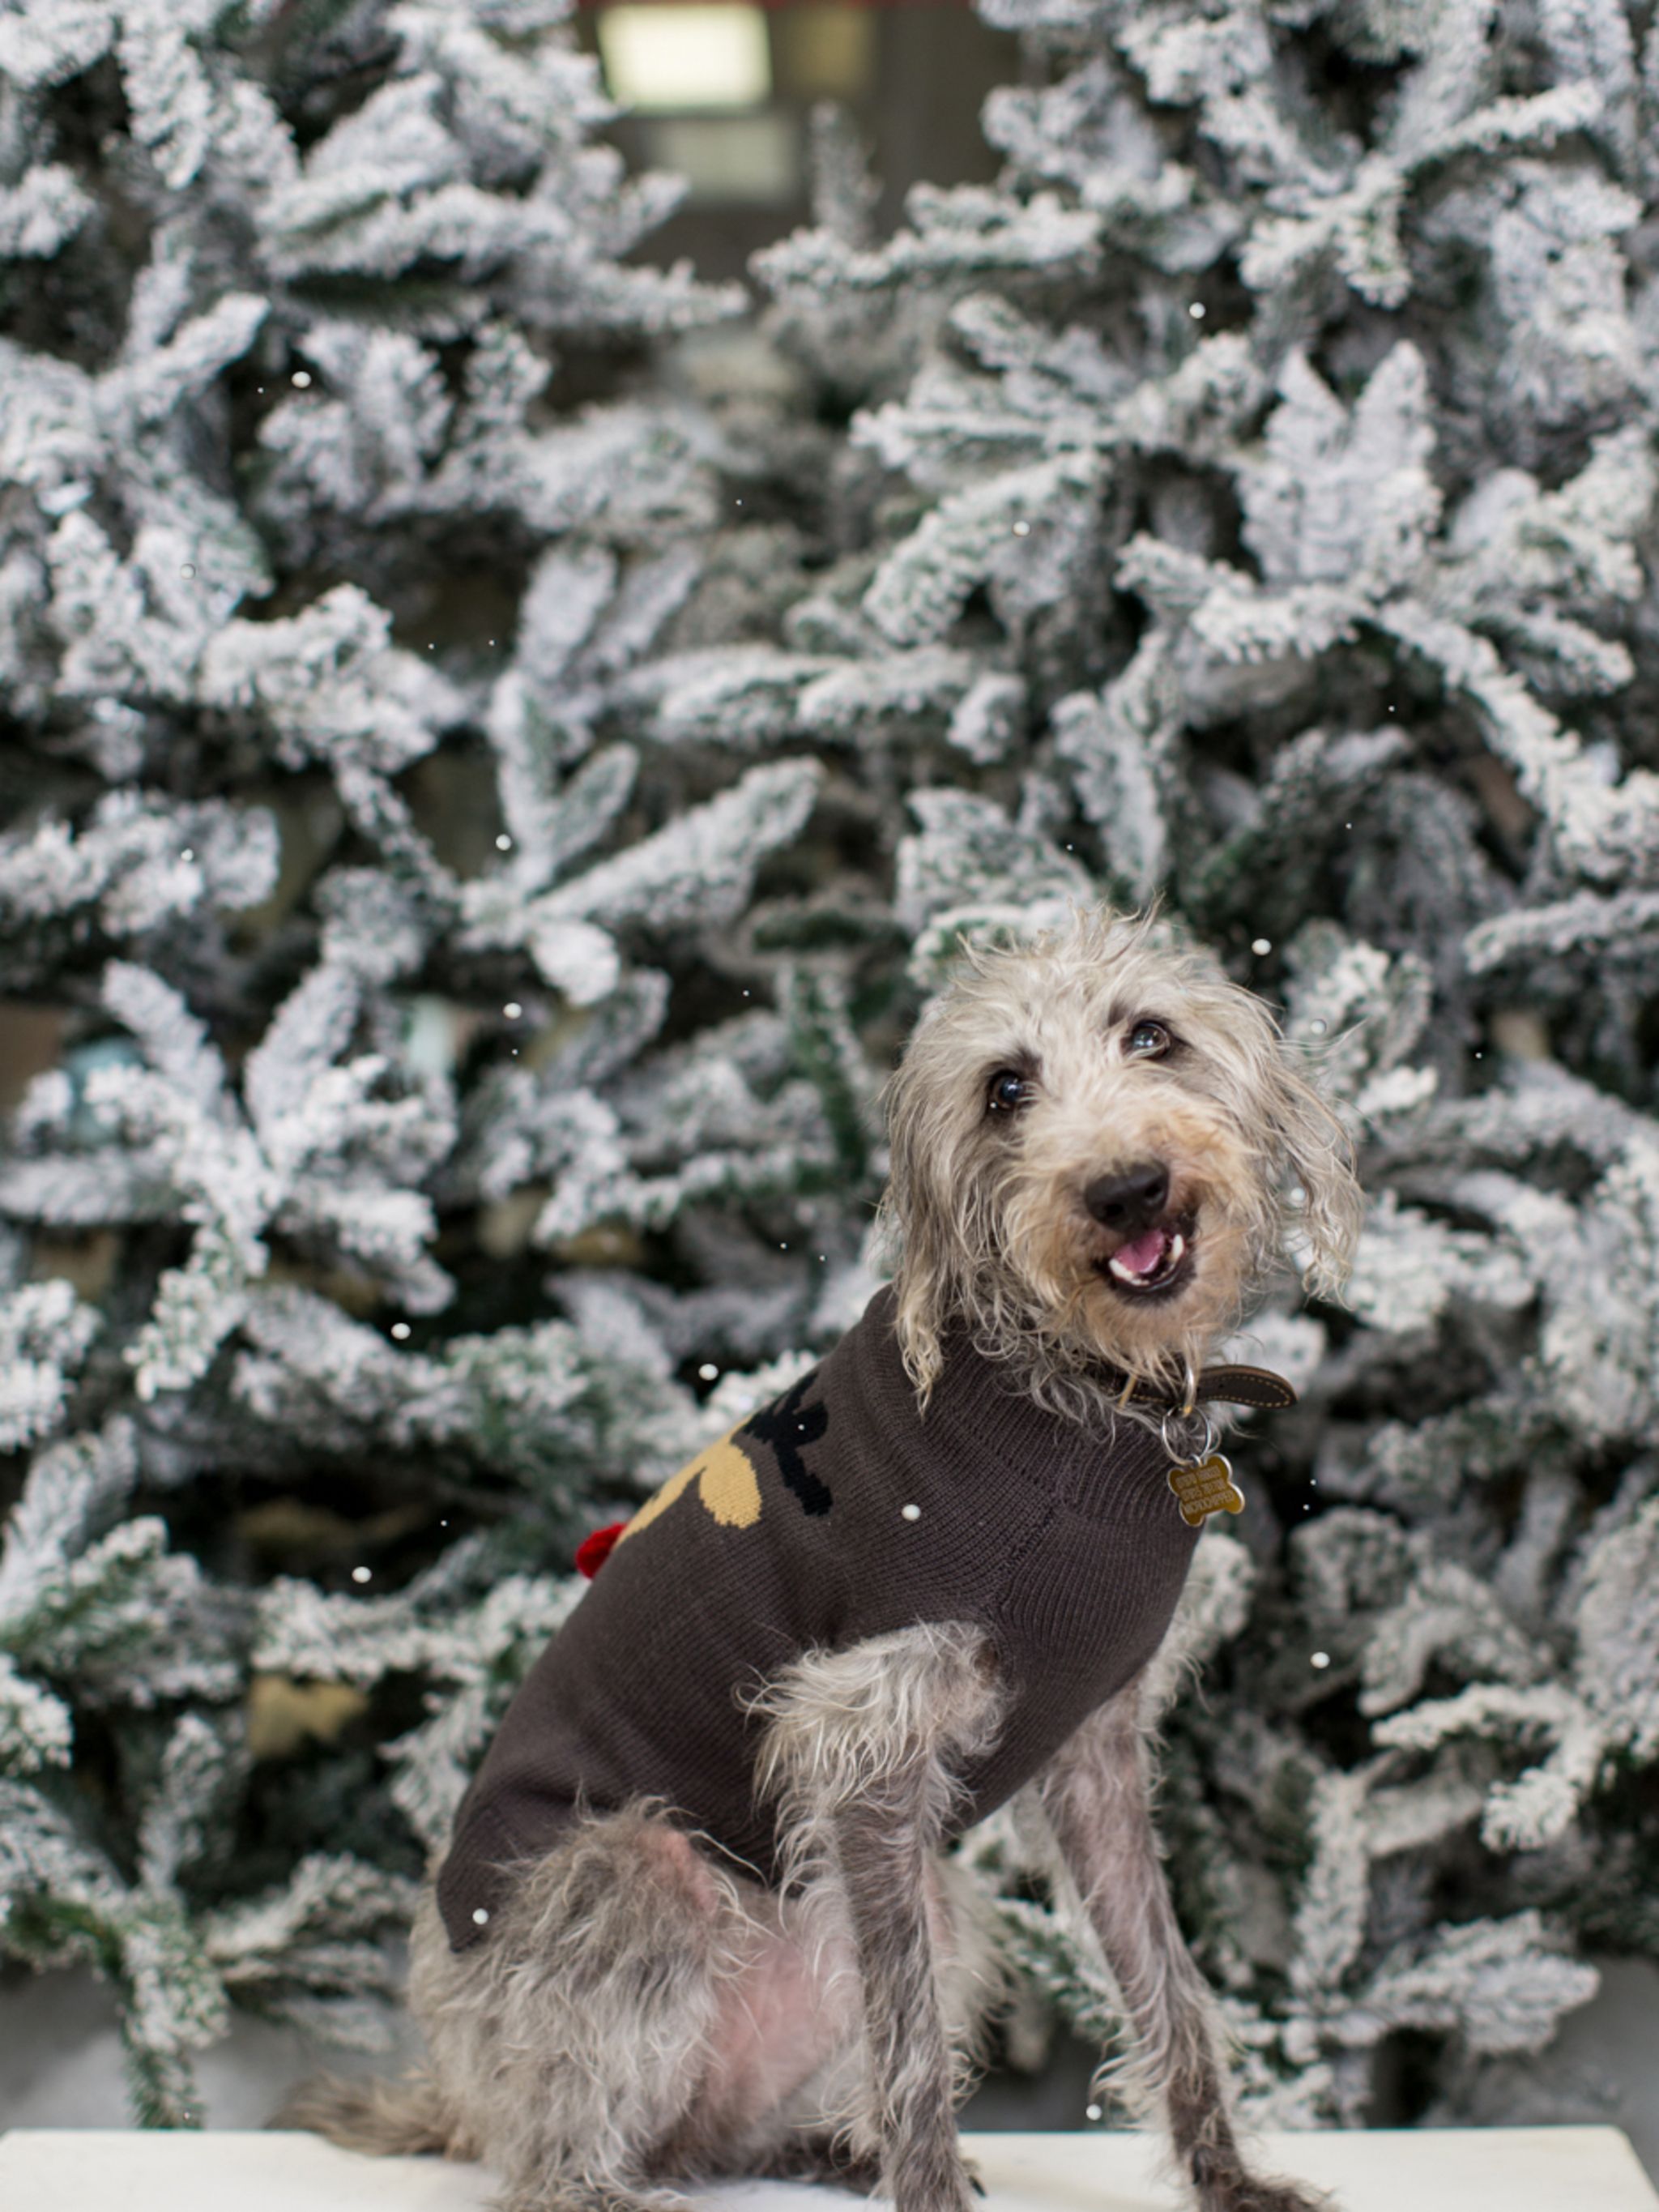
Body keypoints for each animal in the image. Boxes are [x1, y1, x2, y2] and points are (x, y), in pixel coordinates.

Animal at [283, 898, 1363, 2212]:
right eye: (1005, 1088)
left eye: (1151, 1034)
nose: (1124, 1186)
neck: (1074, 1396)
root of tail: (457, 2085)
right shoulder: (861, 1742)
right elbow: (907, 2040)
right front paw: (928, 2194)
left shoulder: (1093, 1748)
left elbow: (1165, 1980)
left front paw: (1227, 2178)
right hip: (629, 1880)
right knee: (556, 2148)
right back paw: (605, 2182)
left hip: (916, 1916)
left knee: (709, 2136)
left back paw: (814, 2148)